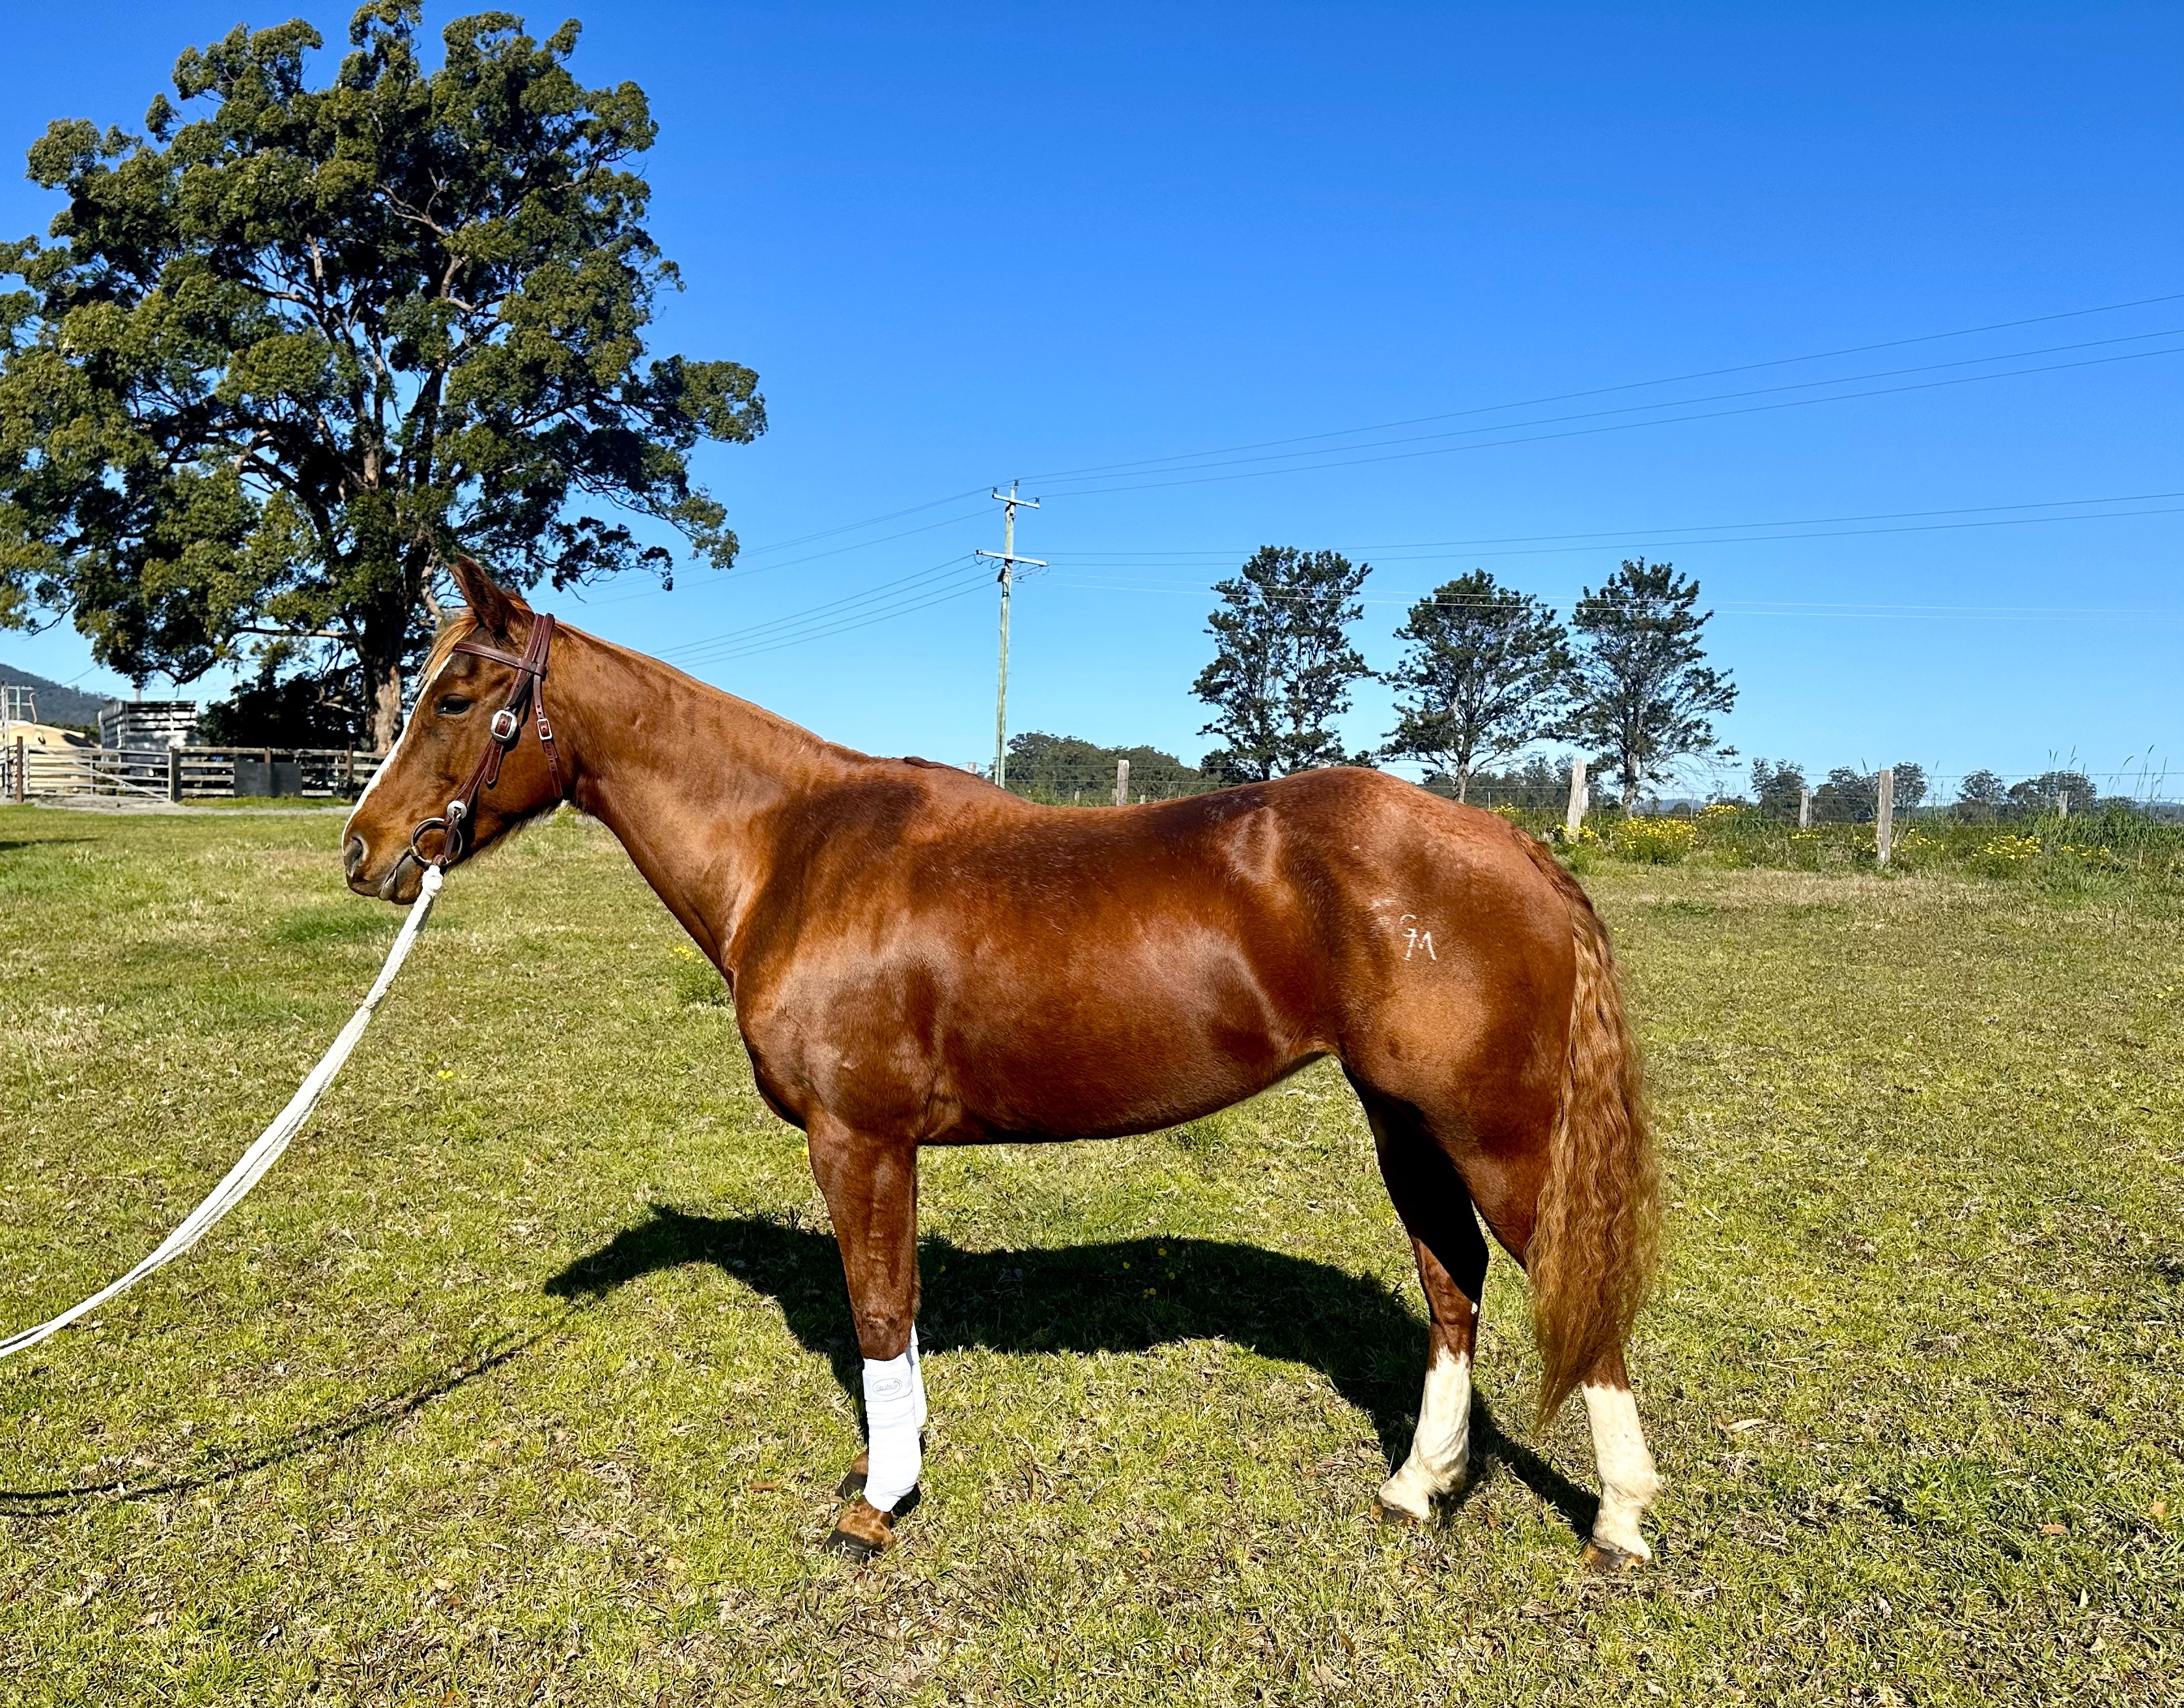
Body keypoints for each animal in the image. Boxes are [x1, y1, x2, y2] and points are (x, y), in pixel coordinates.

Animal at [343, 556, 1663, 1565]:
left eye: (457, 696)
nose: (362, 851)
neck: (791, 850)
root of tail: (1512, 844)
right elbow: (900, 1309)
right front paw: (892, 1464)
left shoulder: (858, 1138)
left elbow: (878, 1309)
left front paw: (877, 1504)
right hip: (1404, 1119)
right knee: (1452, 1285)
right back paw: (1415, 1485)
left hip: (1497, 1136)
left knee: (1571, 1300)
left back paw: (1618, 1517)